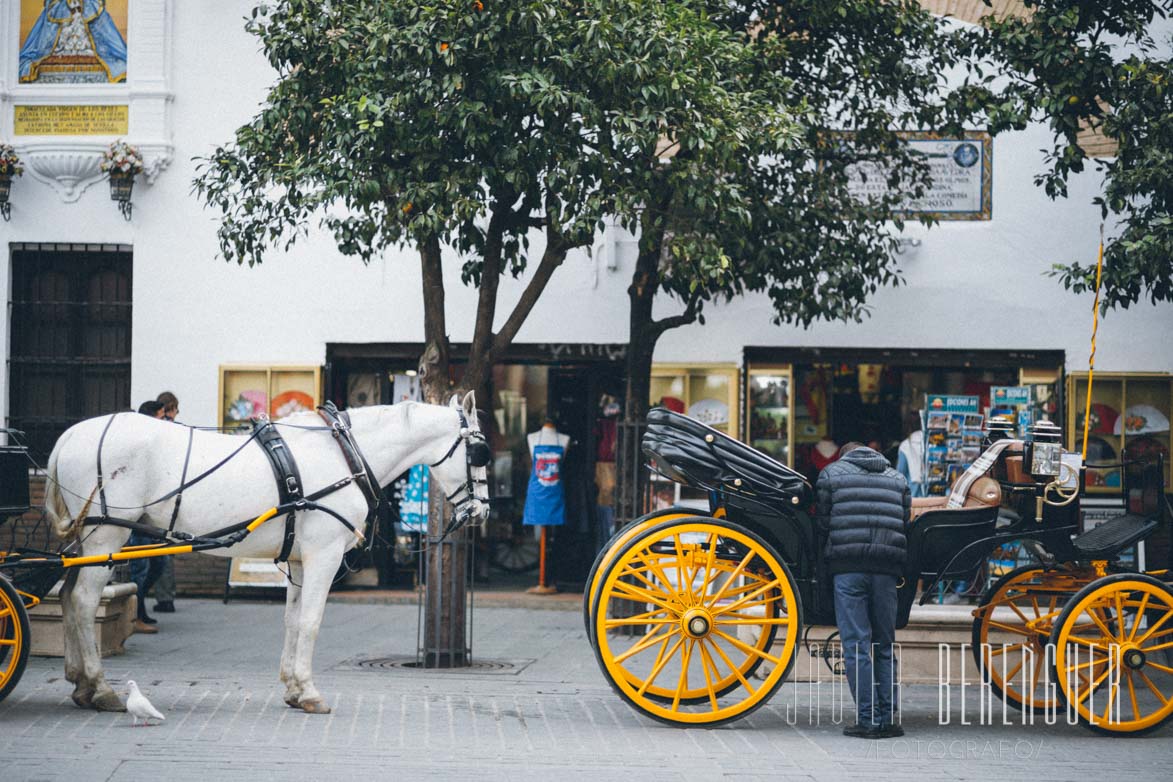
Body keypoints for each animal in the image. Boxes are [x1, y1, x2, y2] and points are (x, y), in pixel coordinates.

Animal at [45, 393, 485, 712]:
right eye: (478, 450)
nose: (481, 512)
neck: (346, 454)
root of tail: (69, 436)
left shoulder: (299, 560)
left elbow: (292, 622)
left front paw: (293, 688)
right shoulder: (324, 556)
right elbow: (311, 622)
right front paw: (310, 692)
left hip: (84, 544)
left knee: (66, 595)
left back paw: (79, 683)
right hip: (105, 538)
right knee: (83, 601)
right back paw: (101, 688)